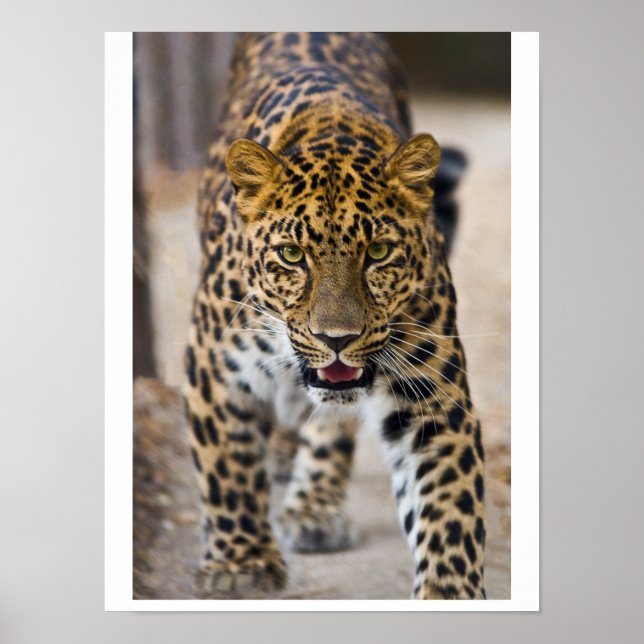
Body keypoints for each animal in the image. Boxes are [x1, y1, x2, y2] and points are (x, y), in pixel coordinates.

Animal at [184, 32, 486, 600]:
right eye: (291, 255)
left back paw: (313, 505)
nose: (337, 338)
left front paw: (450, 593)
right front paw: (240, 563)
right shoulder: (213, 365)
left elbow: (449, 511)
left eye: (380, 252)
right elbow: (228, 467)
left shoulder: (434, 400)